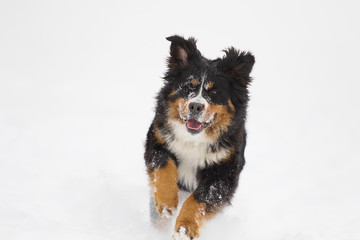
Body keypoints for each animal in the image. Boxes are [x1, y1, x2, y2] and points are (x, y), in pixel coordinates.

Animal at [145, 34, 255, 239]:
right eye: (189, 86)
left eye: (215, 91)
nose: (195, 106)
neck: (194, 141)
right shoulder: (157, 141)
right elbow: (163, 166)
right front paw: (166, 202)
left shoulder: (224, 172)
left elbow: (200, 198)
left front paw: (184, 227)